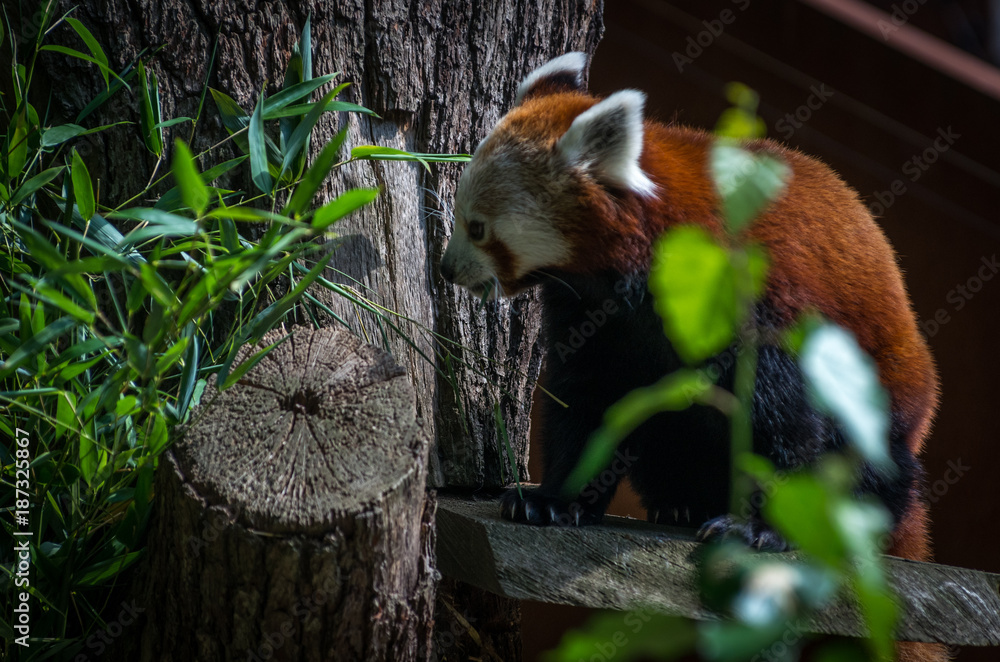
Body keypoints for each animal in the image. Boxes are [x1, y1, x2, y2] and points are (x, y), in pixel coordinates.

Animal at [440, 53, 944, 662]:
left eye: (477, 228)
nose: (446, 269)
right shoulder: (594, 316)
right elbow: (587, 401)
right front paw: (554, 498)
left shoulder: (750, 296)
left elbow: (784, 419)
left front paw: (763, 529)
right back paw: (680, 502)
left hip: (884, 407)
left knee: (873, 463)